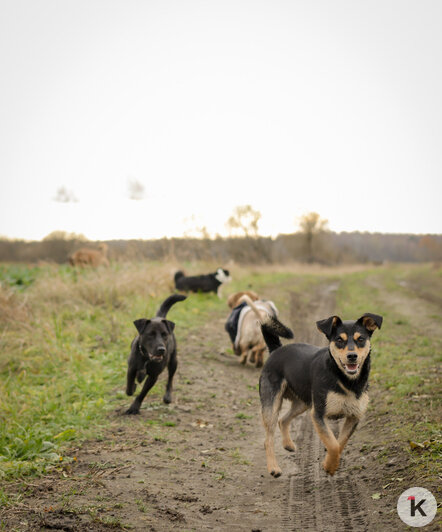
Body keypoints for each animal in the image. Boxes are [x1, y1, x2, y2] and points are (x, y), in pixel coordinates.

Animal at [260, 312, 382, 478]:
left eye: (361, 339)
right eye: (339, 340)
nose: (352, 356)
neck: (346, 380)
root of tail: (276, 350)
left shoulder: (354, 416)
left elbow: (340, 443)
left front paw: (330, 462)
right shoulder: (318, 414)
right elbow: (333, 444)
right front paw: (329, 466)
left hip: (303, 403)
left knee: (283, 420)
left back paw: (288, 444)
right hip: (272, 404)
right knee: (268, 439)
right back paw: (273, 467)